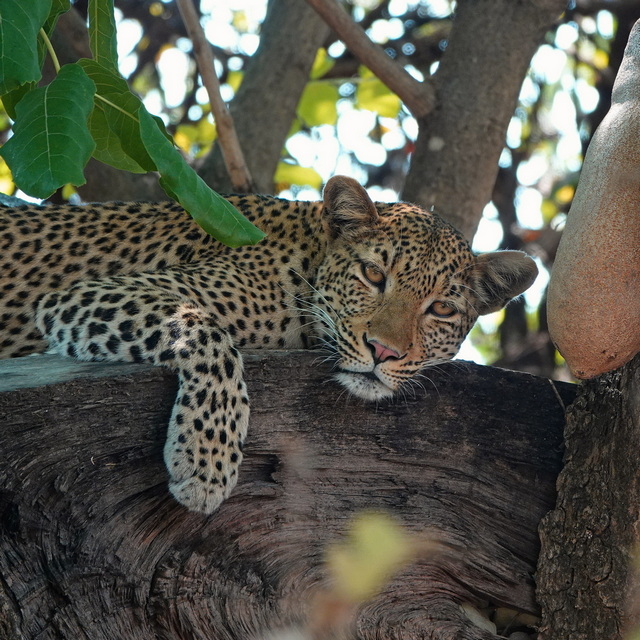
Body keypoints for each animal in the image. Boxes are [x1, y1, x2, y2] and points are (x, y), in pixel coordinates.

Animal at [0, 175, 538, 514]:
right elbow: (207, 333)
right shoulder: (90, 295)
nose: (383, 351)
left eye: (441, 309)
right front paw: (206, 461)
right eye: (372, 274)